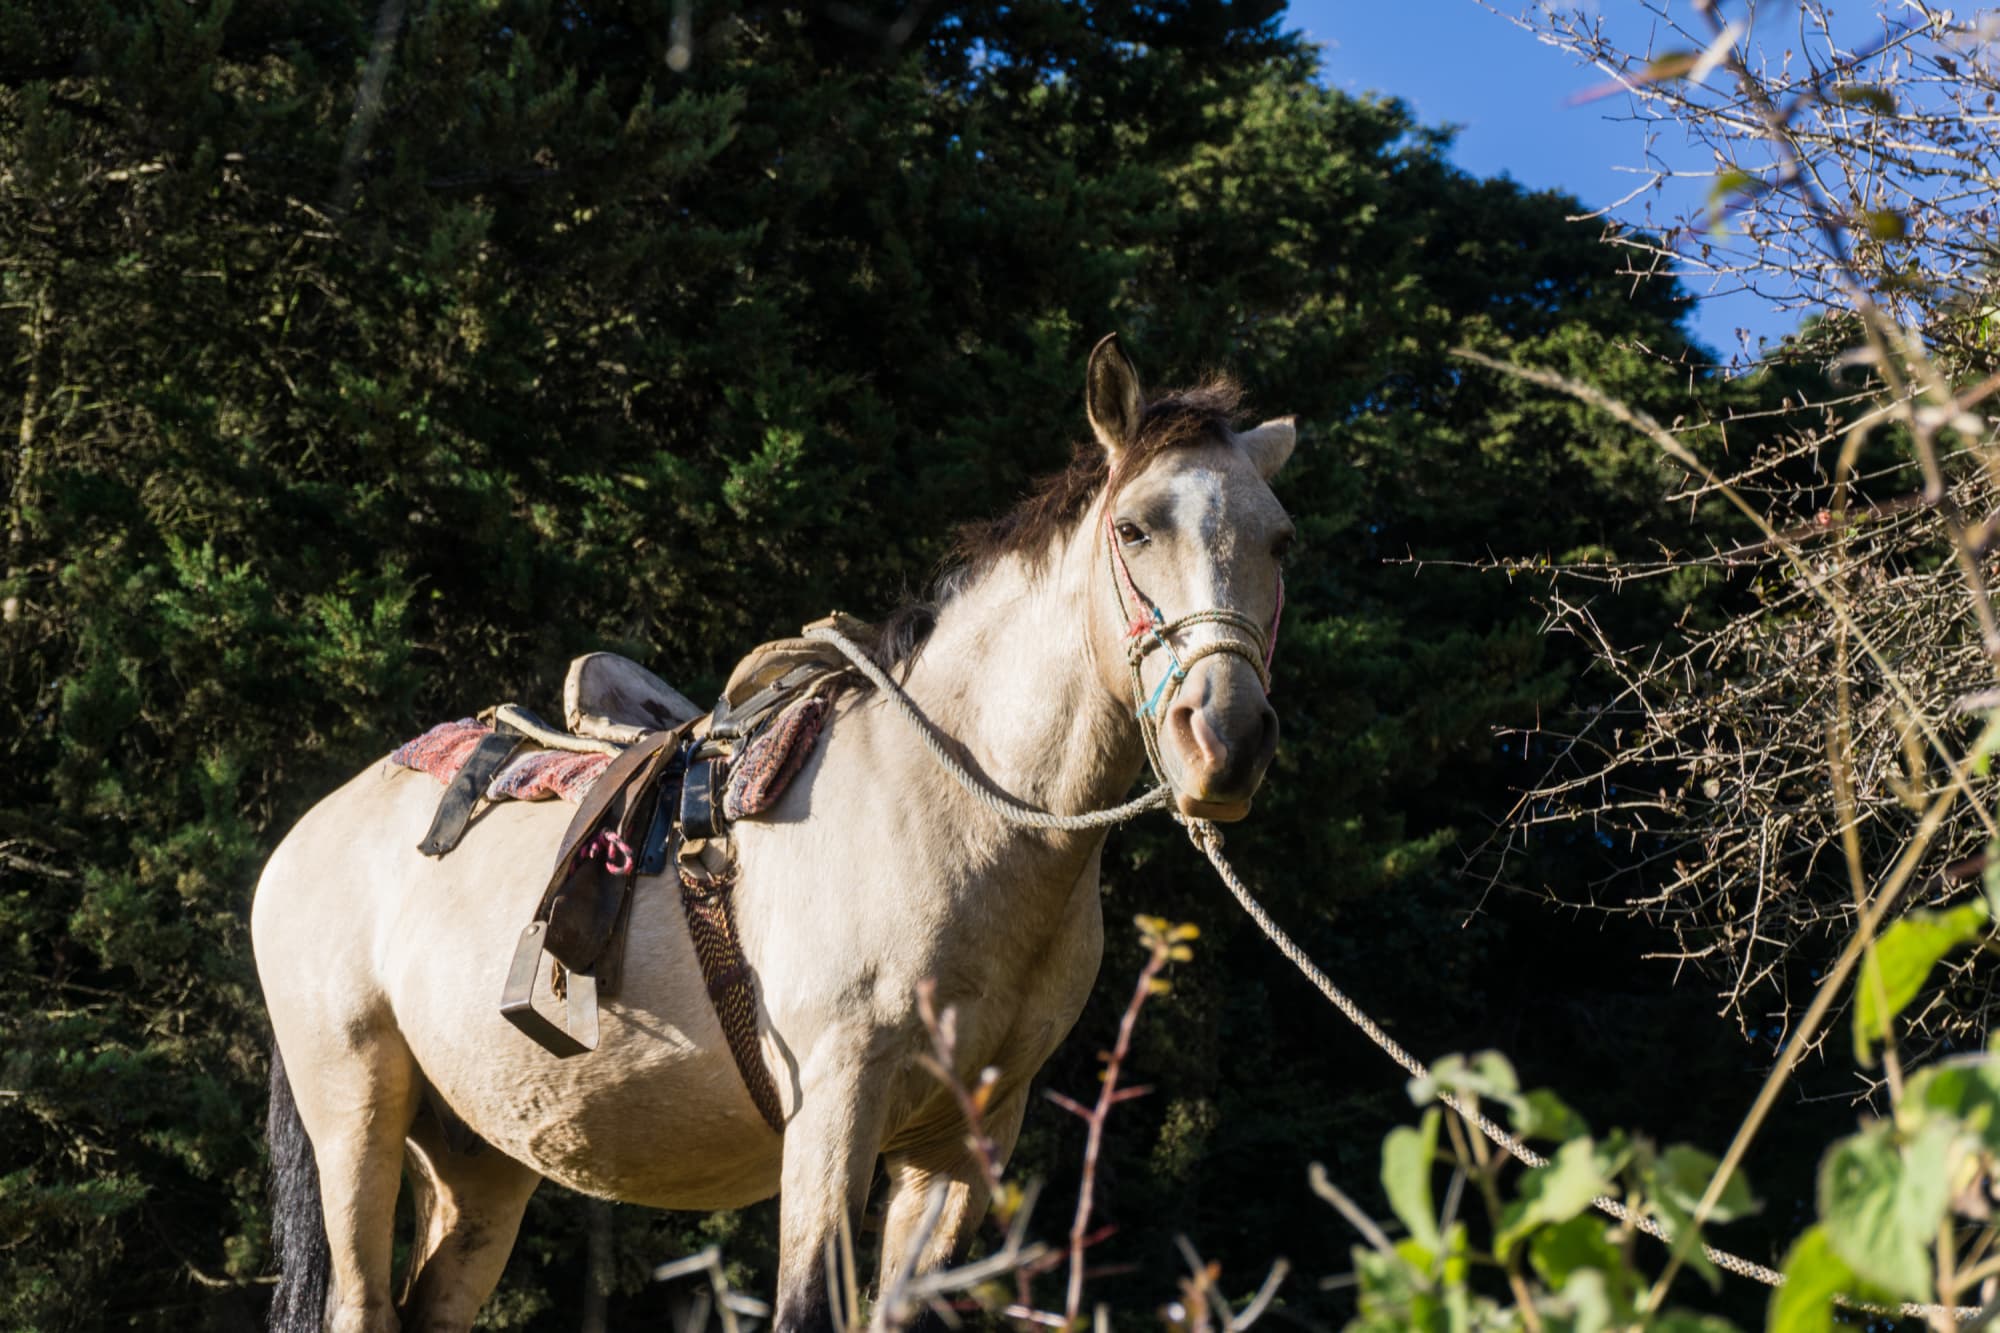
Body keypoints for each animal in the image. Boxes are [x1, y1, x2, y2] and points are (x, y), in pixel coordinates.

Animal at [254, 330, 1296, 1320]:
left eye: (1280, 541)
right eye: (1133, 527)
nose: (1226, 736)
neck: (955, 812)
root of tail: (301, 840)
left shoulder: (965, 1143)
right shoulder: (836, 1107)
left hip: (478, 1155)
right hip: (356, 1110)